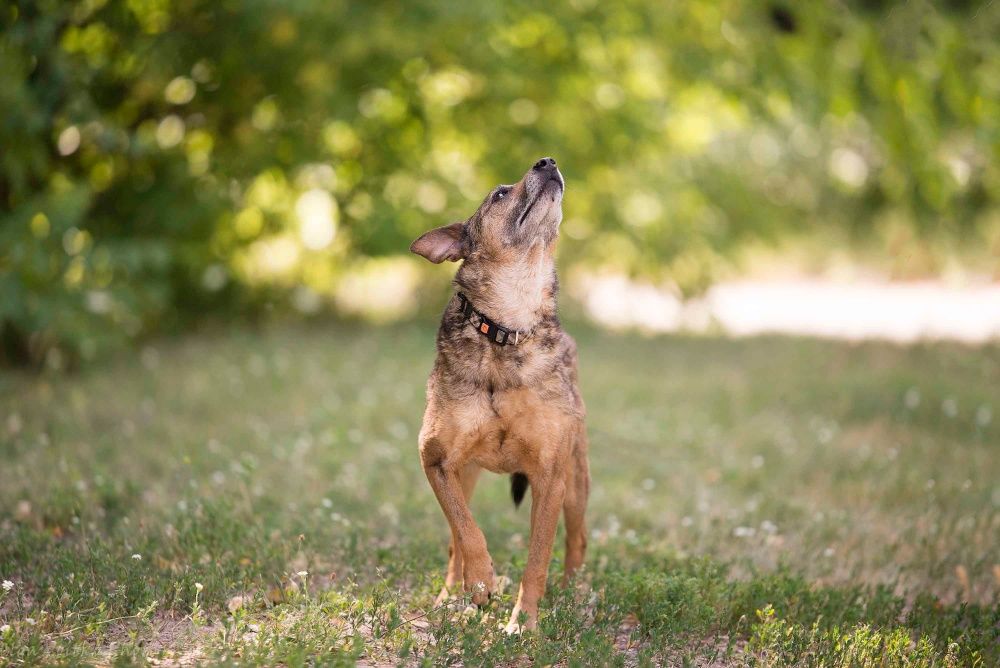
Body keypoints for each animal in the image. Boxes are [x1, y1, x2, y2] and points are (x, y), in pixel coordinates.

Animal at [410, 155, 588, 632]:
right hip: (466, 474)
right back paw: (450, 597)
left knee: (578, 538)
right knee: (455, 538)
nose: (547, 160)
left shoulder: (550, 475)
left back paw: (577, 595)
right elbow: (466, 531)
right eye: (499, 195)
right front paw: (481, 582)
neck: (507, 327)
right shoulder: (435, 459)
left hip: (576, 478)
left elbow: (538, 559)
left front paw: (523, 624)